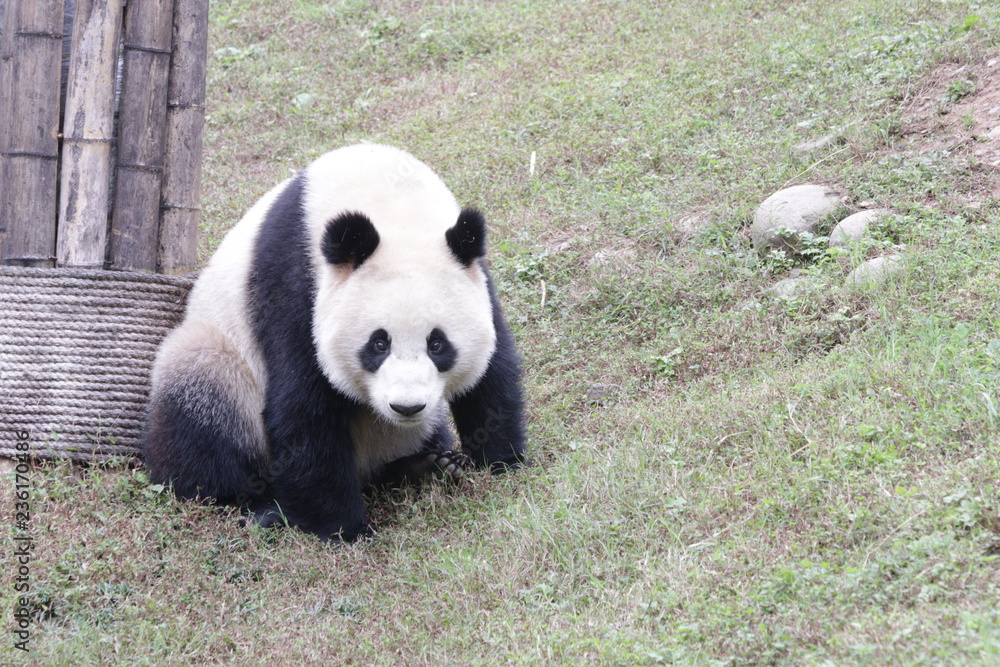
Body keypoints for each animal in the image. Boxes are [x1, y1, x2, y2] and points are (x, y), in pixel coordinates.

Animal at [142, 143, 527, 542]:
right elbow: (304, 406)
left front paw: (499, 462)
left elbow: (493, 372)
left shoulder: (476, 274)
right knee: (202, 412)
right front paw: (347, 530)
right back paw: (259, 507)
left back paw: (426, 464)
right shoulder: (296, 282)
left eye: (437, 344)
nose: (406, 407)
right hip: (220, 359)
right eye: (378, 344)